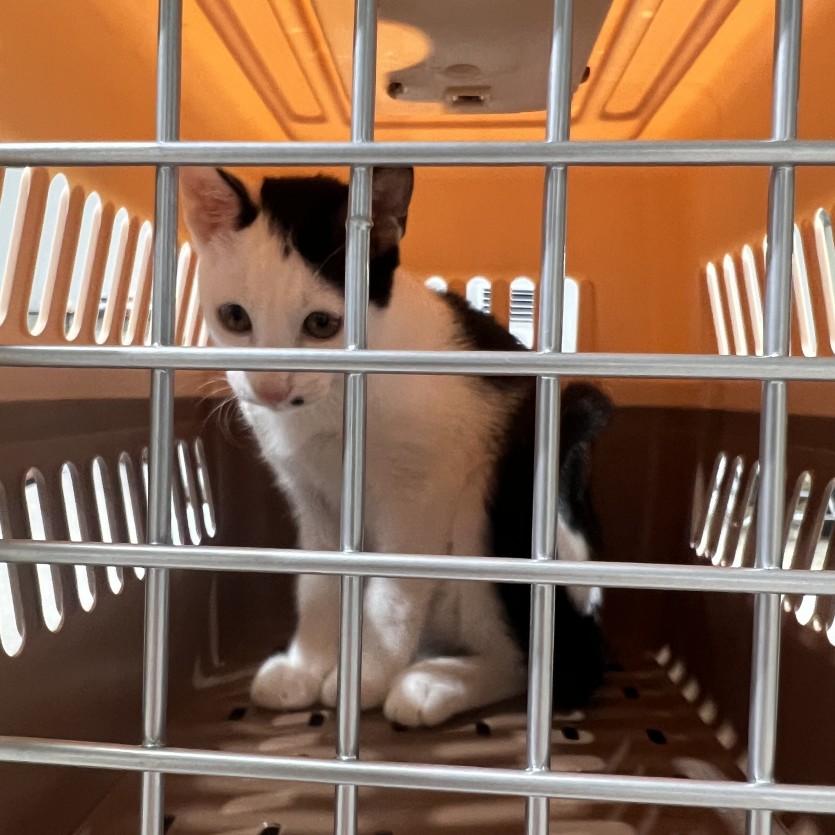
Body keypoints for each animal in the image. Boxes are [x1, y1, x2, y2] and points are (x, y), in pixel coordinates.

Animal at [181, 165, 612, 728]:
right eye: (235, 317)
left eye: (322, 324)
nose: (271, 388)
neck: (332, 406)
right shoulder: (310, 497)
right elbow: (318, 583)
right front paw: (306, 665)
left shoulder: (422, 490)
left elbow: (392, 595)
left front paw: (363, 677)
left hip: (495, 497)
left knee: (533, 657)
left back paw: (436, 684)